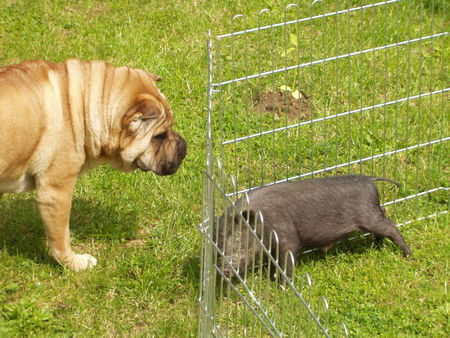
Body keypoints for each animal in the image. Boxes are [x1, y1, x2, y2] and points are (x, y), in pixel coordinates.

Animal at [214, 174, 412, 278]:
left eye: (240, 244)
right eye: (219, 247)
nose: (225, 269)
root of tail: (370, 179)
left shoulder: (286, 234)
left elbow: (288, 257)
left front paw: (282, 284)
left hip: (368, 215)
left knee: (391, 227)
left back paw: (408, 255)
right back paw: (378, 246)